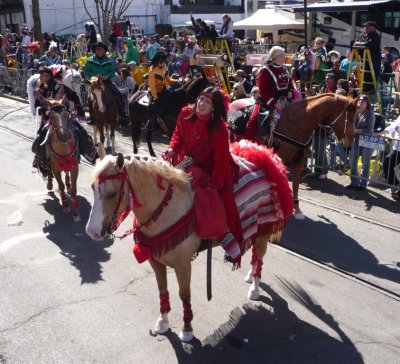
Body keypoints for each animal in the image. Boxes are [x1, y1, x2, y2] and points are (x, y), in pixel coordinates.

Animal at [86, 140, 294, 342]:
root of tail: (266, 156)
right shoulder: (156, 261)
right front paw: (163, 322)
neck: (166, 208)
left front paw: (187, 330)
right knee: (254, 254)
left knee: (260, 257)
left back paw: (255, 288)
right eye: (93, 188)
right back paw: (250, 275)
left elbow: (184, 295)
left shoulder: (183, 265)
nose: (92, 232)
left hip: (264, 230)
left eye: (112, 194)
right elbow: (162, 289)